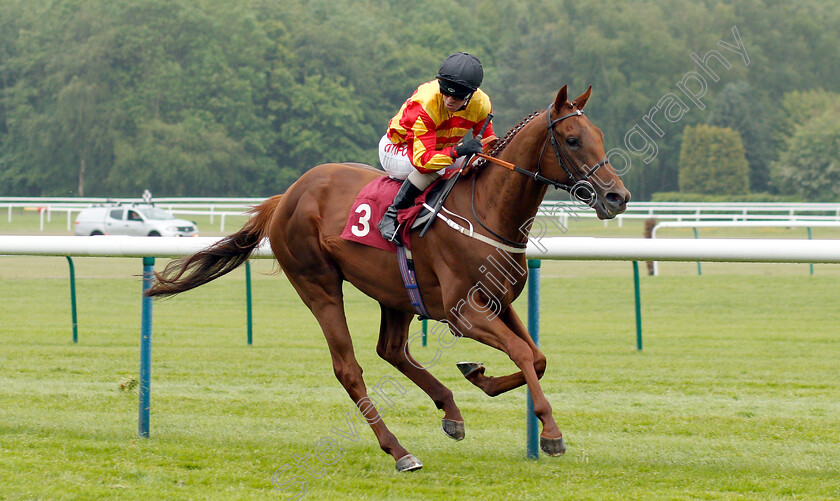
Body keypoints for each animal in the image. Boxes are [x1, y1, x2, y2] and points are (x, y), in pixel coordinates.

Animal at [146, 84, 632, 470]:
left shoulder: (498, 303)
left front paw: (477, 375)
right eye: (572, 140)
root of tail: (288, 195)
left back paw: (450, 411)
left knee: (392, 350)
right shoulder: (464, 314)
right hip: (318, 284)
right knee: (349, 368)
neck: (488, 211)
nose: (618, 196)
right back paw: (399, 451)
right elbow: (522, 354)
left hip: (395, 292)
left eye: (599, 136)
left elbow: (536, 357)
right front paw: (550, 432)